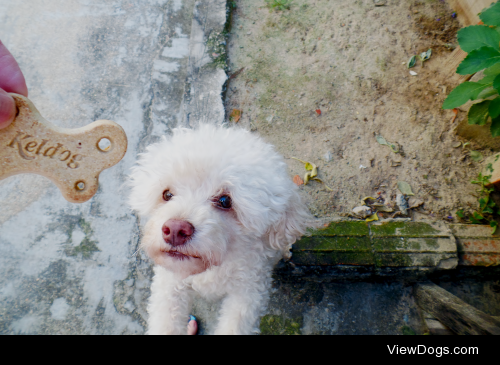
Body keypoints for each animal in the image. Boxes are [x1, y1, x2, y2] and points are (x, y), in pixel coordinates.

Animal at [128, 123, 308, 334]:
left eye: (225, 201)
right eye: (167, 194)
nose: (175, 230)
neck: (213, 266)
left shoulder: (249, 291)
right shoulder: (170, 283)